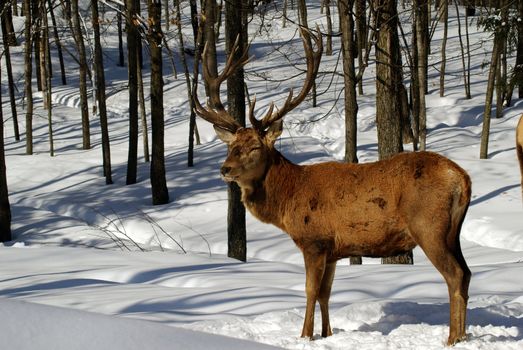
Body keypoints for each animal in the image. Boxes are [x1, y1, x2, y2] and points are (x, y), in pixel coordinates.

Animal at [194, 28, 472, 346]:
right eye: (231, 146)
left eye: (254, 146)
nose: (224, 169)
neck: (288, 198)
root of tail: (462, 178)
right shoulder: (334, 249)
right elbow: (326, 293)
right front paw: (326, 334)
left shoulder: (314, 239)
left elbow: (310, 291)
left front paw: (304, 336)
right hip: (452, 231)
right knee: (466, 273)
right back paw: (463, 335)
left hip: (429, 225)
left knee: (454, 274)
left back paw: (452, 338)